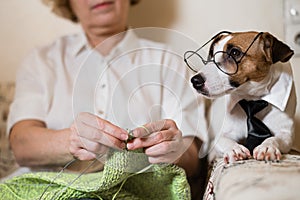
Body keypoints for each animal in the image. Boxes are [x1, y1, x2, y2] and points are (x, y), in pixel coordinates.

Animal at [186, 30, 296, 163]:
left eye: (235, 52)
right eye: (212, 56)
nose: (195, 81)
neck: (252, 98)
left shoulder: (286, 134)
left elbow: (276, 138)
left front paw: (267, 146)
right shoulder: (222, 134)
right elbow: (221, 139)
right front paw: (234, 148)